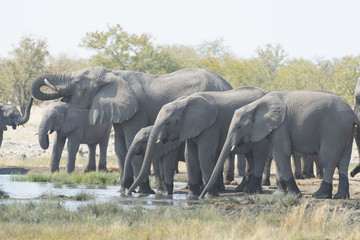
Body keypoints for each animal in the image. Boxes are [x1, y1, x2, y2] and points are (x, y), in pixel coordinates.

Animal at [31, 66, 233, 193]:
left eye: (78, 82)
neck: (113, 74)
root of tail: (228, 85)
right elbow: (121, 149)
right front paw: (123, 189)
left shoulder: (137, 112)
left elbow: (131, 145)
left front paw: (143, 191)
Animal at [125, 86, 268, 197]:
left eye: (167, 123)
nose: (128, 193)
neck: (184, 103)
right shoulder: (190, 127)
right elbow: (190, 154)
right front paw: (192, 195)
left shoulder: (211, 126)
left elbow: (203, 153)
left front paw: (207, 196)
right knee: (250, 157)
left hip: (261, 129)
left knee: (258, 154)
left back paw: (248, 191)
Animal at [201, 90, 358, 199]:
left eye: (239, 127)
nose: (202, 197)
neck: (255, 105)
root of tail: (352, 115)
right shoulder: (276, 127)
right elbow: (277, 155)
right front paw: (280, 194)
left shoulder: (280, 126)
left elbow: (282, 153)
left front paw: (294, 195)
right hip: (346, 131)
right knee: (343, 161)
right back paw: (341, 196)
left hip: (334, 130)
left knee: (329, 160)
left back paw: (320, 195)